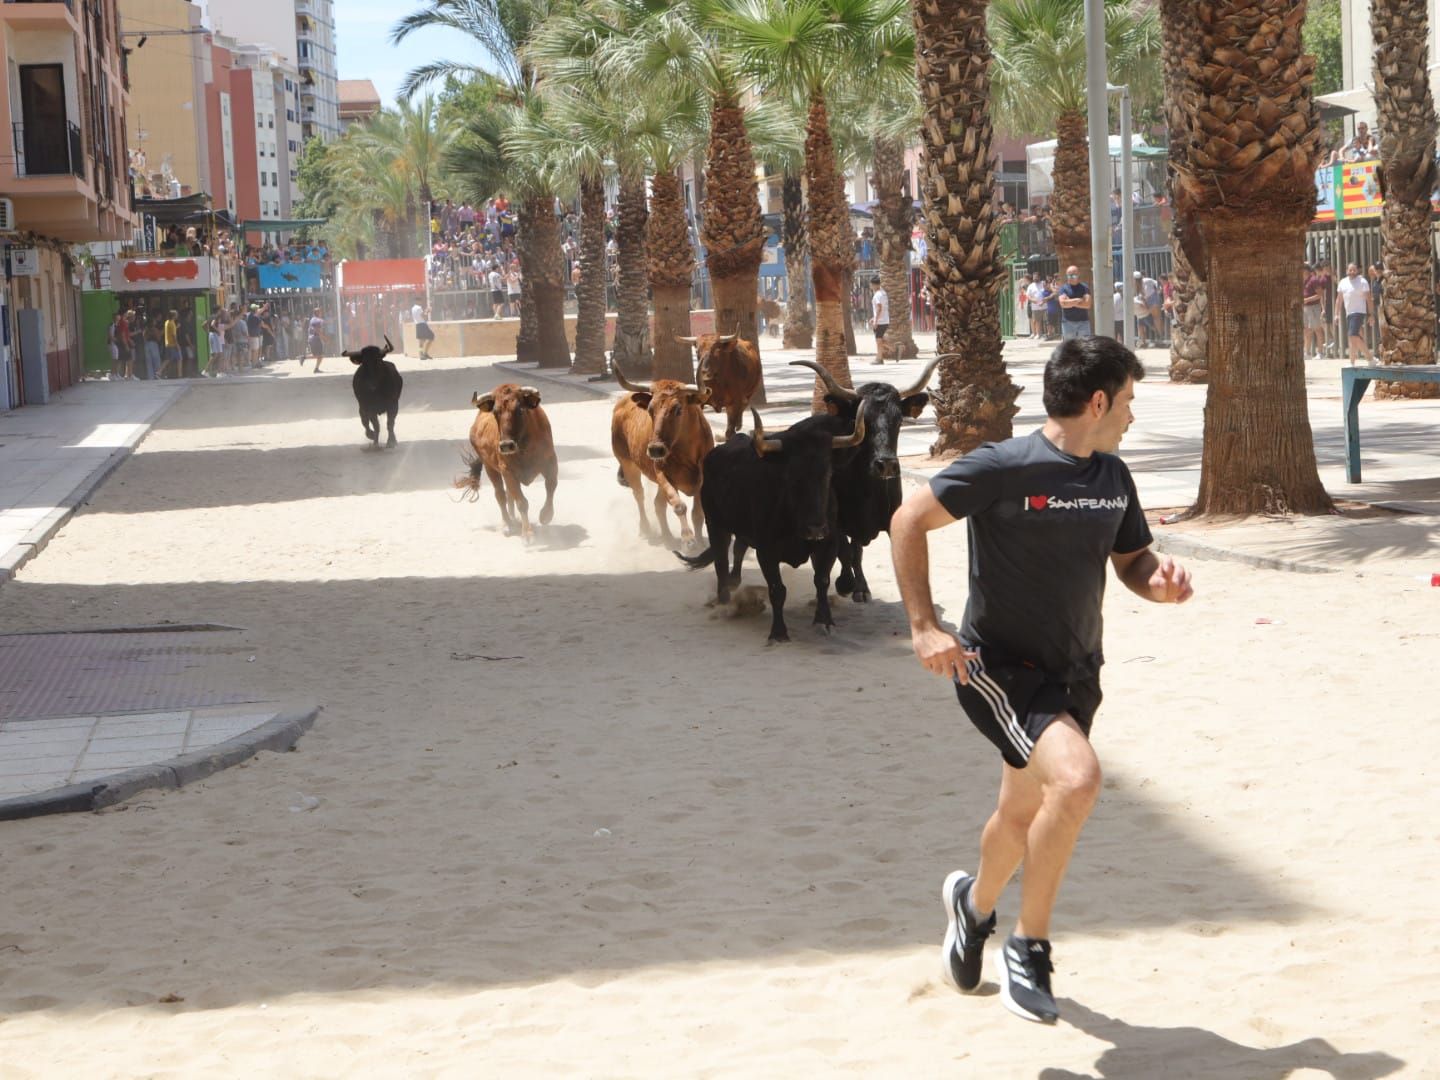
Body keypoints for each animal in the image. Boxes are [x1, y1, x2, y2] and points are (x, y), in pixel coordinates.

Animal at [455, 385, 555, 544]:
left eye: (520, 410)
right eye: (496, 412)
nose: (506, 445)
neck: (524, 445)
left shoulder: (550, 462)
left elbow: (551, 487)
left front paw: (546, 515)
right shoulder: (508, 472)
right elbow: (522, 502)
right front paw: (527, 534)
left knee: (508, 495)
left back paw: (513, 519)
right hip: (490, 468)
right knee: (500, 495)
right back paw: (507, 525)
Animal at [610, 364, 717, 550]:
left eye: (678, 409)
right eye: (650, 409)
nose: (655, 450)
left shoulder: (703, 479)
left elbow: (698, 513)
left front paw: (700, 541)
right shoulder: (662, 474)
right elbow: (678, 505)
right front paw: (688, 539)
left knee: (658, 504)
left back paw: (667, 536)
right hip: (627, 463)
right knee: (639, 495)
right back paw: (646, 529)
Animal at [673, 406, 864, 642]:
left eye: (828, 473)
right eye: (791, 475)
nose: (815, 528)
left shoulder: (828, 543)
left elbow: (821, 580)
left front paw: (824, 621)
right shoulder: (766, 551)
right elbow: (777, 590)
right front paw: (778, 632)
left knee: (738, 548)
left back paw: (733, 584)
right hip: (716, 525)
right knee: (720, 563)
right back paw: (724, 603)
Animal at [789, 360, 944, 604]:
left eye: (899, 420)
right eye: (861, 421)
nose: (886, 465)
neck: (869, 491)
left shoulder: (891, 516)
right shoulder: (837, 523)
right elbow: (846, 552)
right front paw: (847, 584)